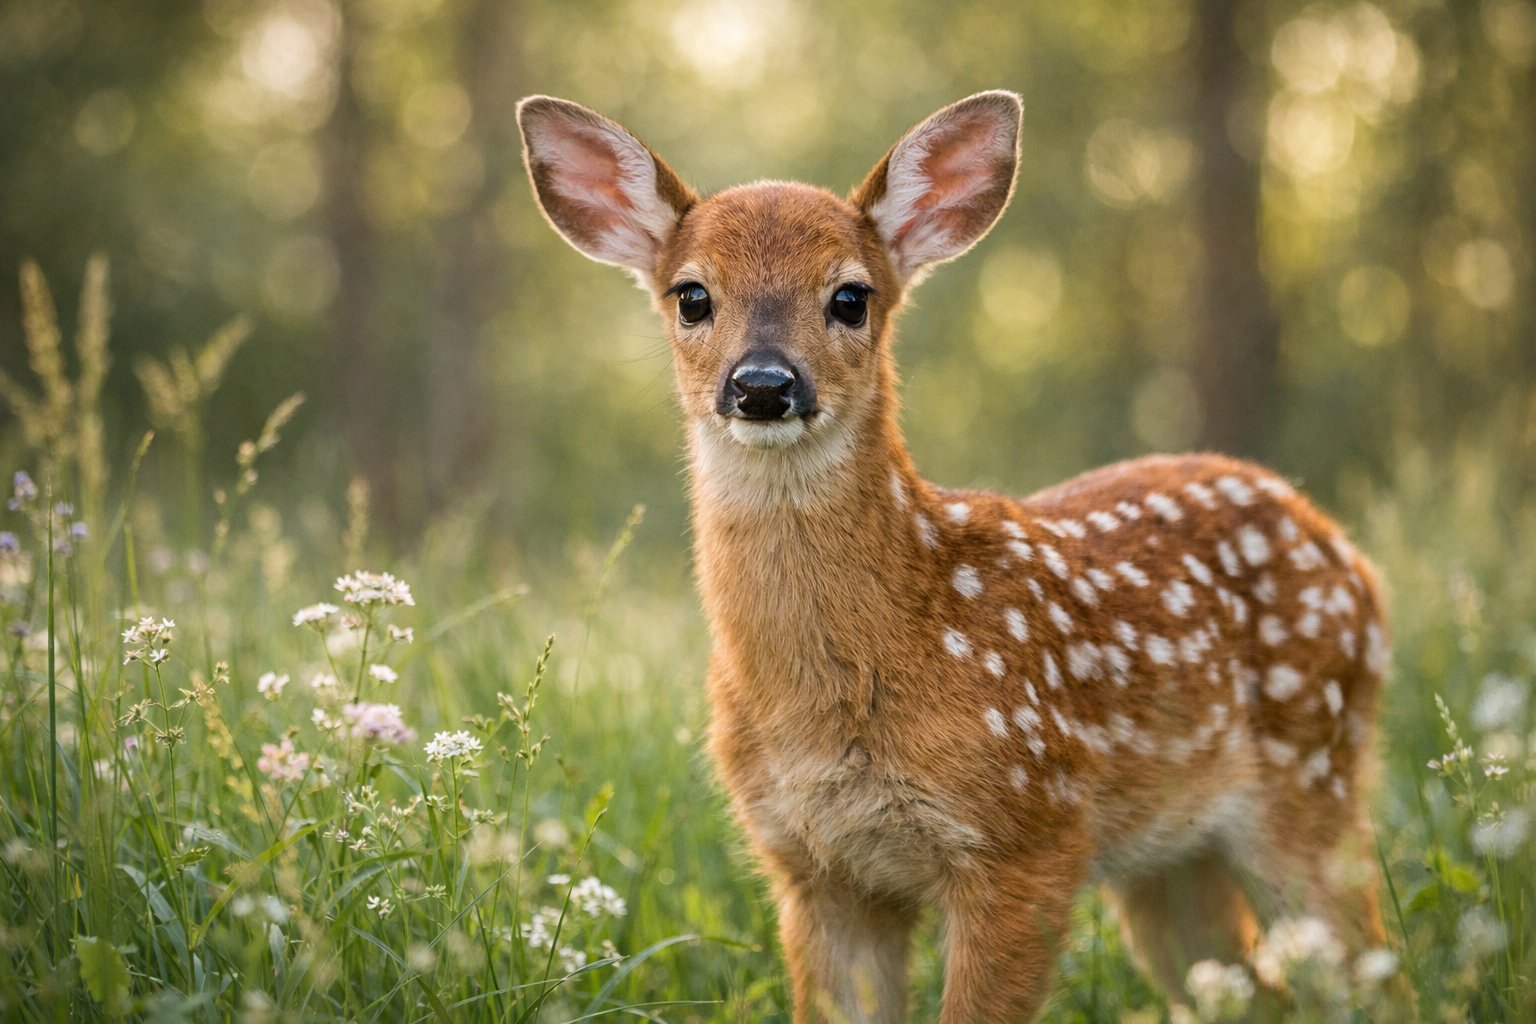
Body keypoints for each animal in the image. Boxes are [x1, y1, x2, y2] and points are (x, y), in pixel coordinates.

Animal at [517, 91, 1389, 1023]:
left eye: (851, 297)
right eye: (691, 296)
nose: (763, 385)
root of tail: (1339, 544)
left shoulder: (1028, 835)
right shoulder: (813, 866)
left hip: (1315, 774)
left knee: (1381, 969)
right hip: (1174, 861)